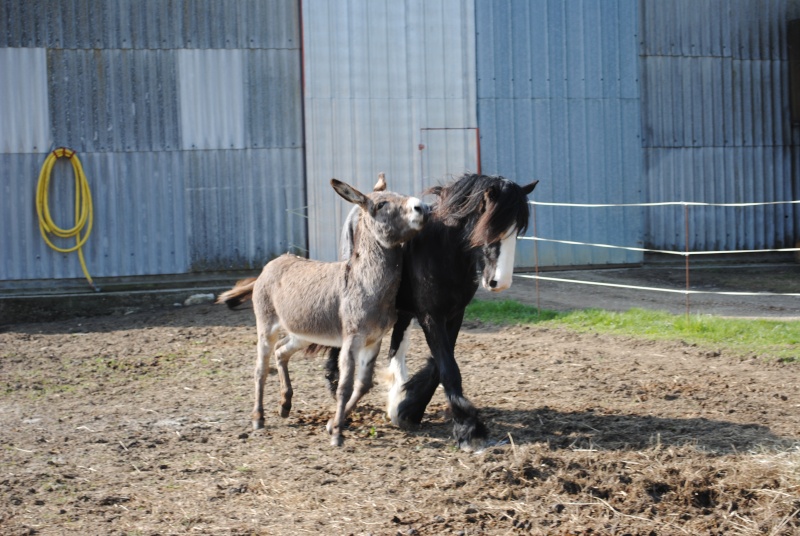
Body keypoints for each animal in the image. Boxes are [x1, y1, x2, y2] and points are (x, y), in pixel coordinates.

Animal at [324, 174, 536, 450]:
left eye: (517, 230)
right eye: (488, 227)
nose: (499, 282)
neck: (443, 251)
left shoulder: (454, 315)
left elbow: (440, 363)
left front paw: (407, 407)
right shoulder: (430, 316)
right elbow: (448, 367)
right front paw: (468, 428)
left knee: (397, 344)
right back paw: (335, 385)